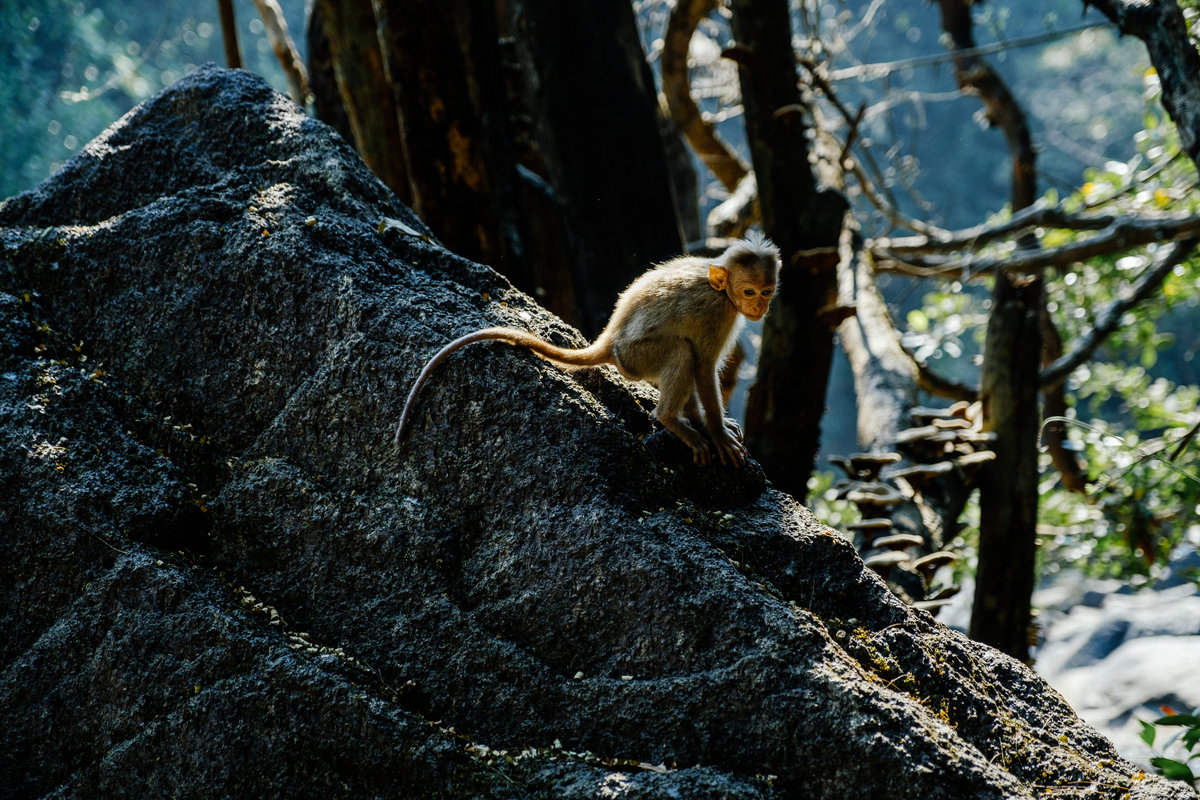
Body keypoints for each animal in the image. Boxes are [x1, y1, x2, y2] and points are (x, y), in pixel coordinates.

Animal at [398, 231, 782, 470]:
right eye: (749, 292)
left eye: (766, 292)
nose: (760, 307)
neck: (721, 291)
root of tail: (608, 340)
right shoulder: (717, 314)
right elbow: (703, 365)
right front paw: (716, 431)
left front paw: (712, 424)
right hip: (635, 359)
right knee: (681, 353)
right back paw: (670, 419)